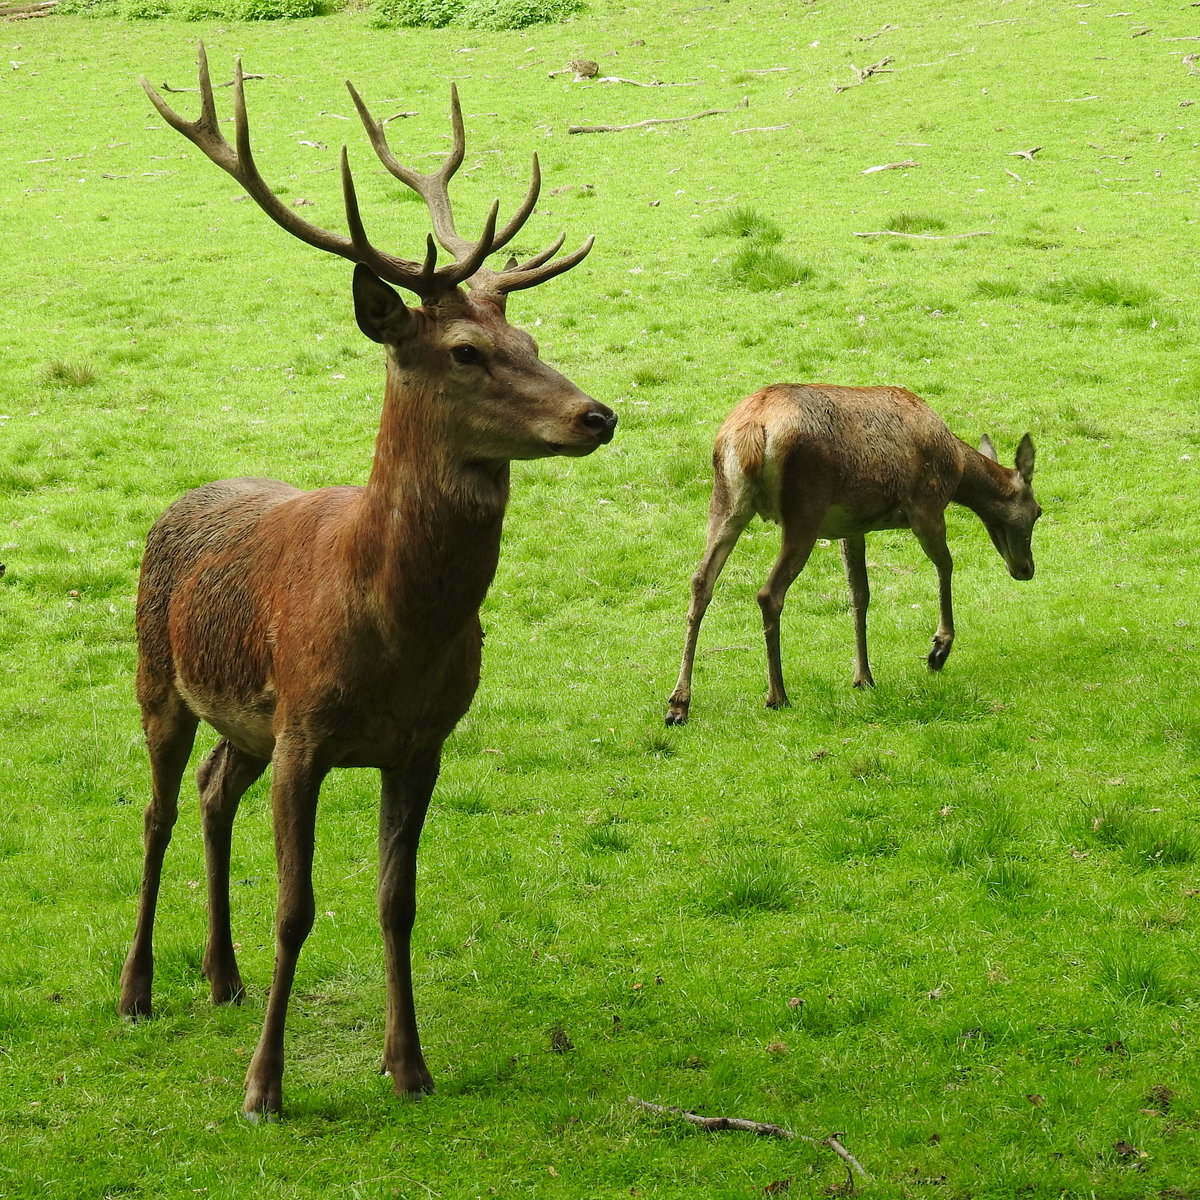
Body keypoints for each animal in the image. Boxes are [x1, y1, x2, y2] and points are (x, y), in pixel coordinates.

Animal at [119, 46, 619, 1113]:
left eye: (532, 343)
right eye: (466, 352)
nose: (597, 414)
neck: (397, 628)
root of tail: (184, 496)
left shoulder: (421, 742)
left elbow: (399, 902)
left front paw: (410, 1065)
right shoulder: (307, 730)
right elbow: (296, 908)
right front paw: (264, 1088)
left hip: (246, 724)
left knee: (217, 791)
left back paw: (221, 980)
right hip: (157, 676)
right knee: (159, 810)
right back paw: (138, 990)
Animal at [667, 386, 1041, 720]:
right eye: (1038, 512)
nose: (1026, 569)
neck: (959, 468)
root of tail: (750, 431)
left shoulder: (852, 527)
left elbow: (859, 594)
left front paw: (863, 677)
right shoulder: (927, 505)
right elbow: (946, 565)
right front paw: (938, 650)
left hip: (727, 500)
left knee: (701, 581)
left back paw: (678, 703)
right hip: (805, 507)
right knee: (768, 592)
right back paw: (777, 695)